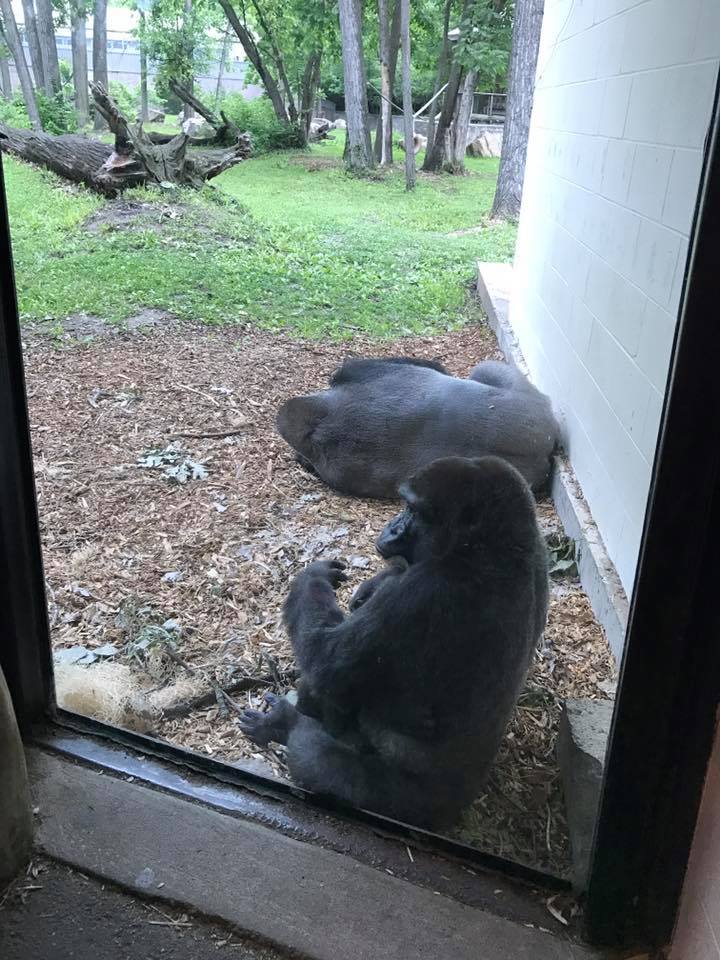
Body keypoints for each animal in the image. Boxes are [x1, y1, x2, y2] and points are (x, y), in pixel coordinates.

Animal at [239, 455, 549, 830]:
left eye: (414, 510)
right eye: (405, 506)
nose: (394, 527)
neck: (495, 545)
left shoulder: (428, 590)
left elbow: (326, 658)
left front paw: (313, 576)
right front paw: (375, 581)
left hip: (405, 804)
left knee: (318, 757)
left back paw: (287, 724)